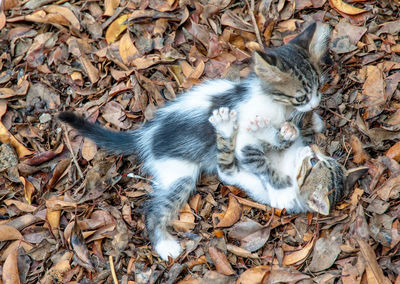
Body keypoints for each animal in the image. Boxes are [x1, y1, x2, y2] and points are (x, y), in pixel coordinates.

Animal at [57, 22, 332, 262]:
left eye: (320, 87)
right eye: (301, 96)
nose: (315, 104)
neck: (273, 103)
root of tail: (148, 134)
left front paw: (311, 123)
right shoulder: (244, 138)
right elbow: (262, 160)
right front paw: (281, 191)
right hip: (179, 174)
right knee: (153, 211)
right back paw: (164, 244)